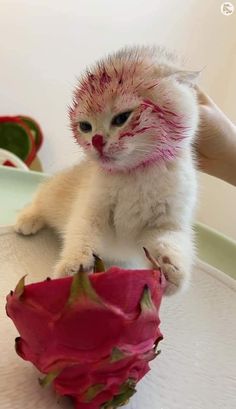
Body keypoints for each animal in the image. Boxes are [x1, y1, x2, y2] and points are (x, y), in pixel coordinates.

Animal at [15, 46, 199, 294]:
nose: (97, 141)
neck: (135, 173)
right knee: (41, 197)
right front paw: (74, 265)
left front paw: (171, 269)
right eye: (85, 126)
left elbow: (173, 240)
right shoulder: (91, 206)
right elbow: (81, 231)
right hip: (56, 191)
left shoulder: (169, 220)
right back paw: (28, 218)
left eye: (122, 118)